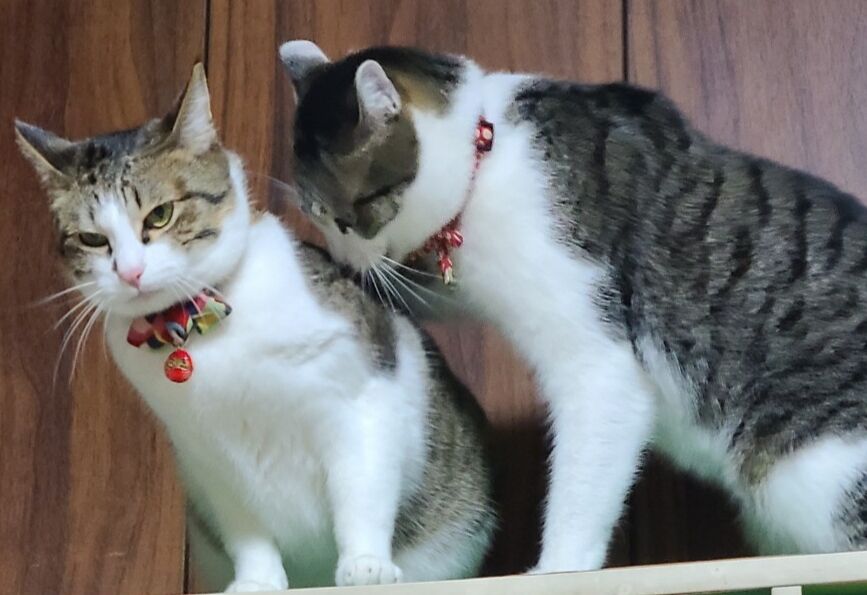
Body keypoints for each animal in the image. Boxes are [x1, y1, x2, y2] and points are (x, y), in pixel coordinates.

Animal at [15, 63, 495, 591]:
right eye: (92, 239)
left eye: (160, 215)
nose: (130, 272)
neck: (196, 326)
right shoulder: (208, 459)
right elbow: (247, 531)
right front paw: (258, 581)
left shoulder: (362, 402)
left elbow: (361, 493)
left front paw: (365, 565)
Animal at [278, 40, 867, 572]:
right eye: (319, 220)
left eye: (343, 218)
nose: (343, 261)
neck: (486, 151)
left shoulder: (599, 363)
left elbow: (580, 489)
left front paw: (556, 568)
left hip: (814, 479)